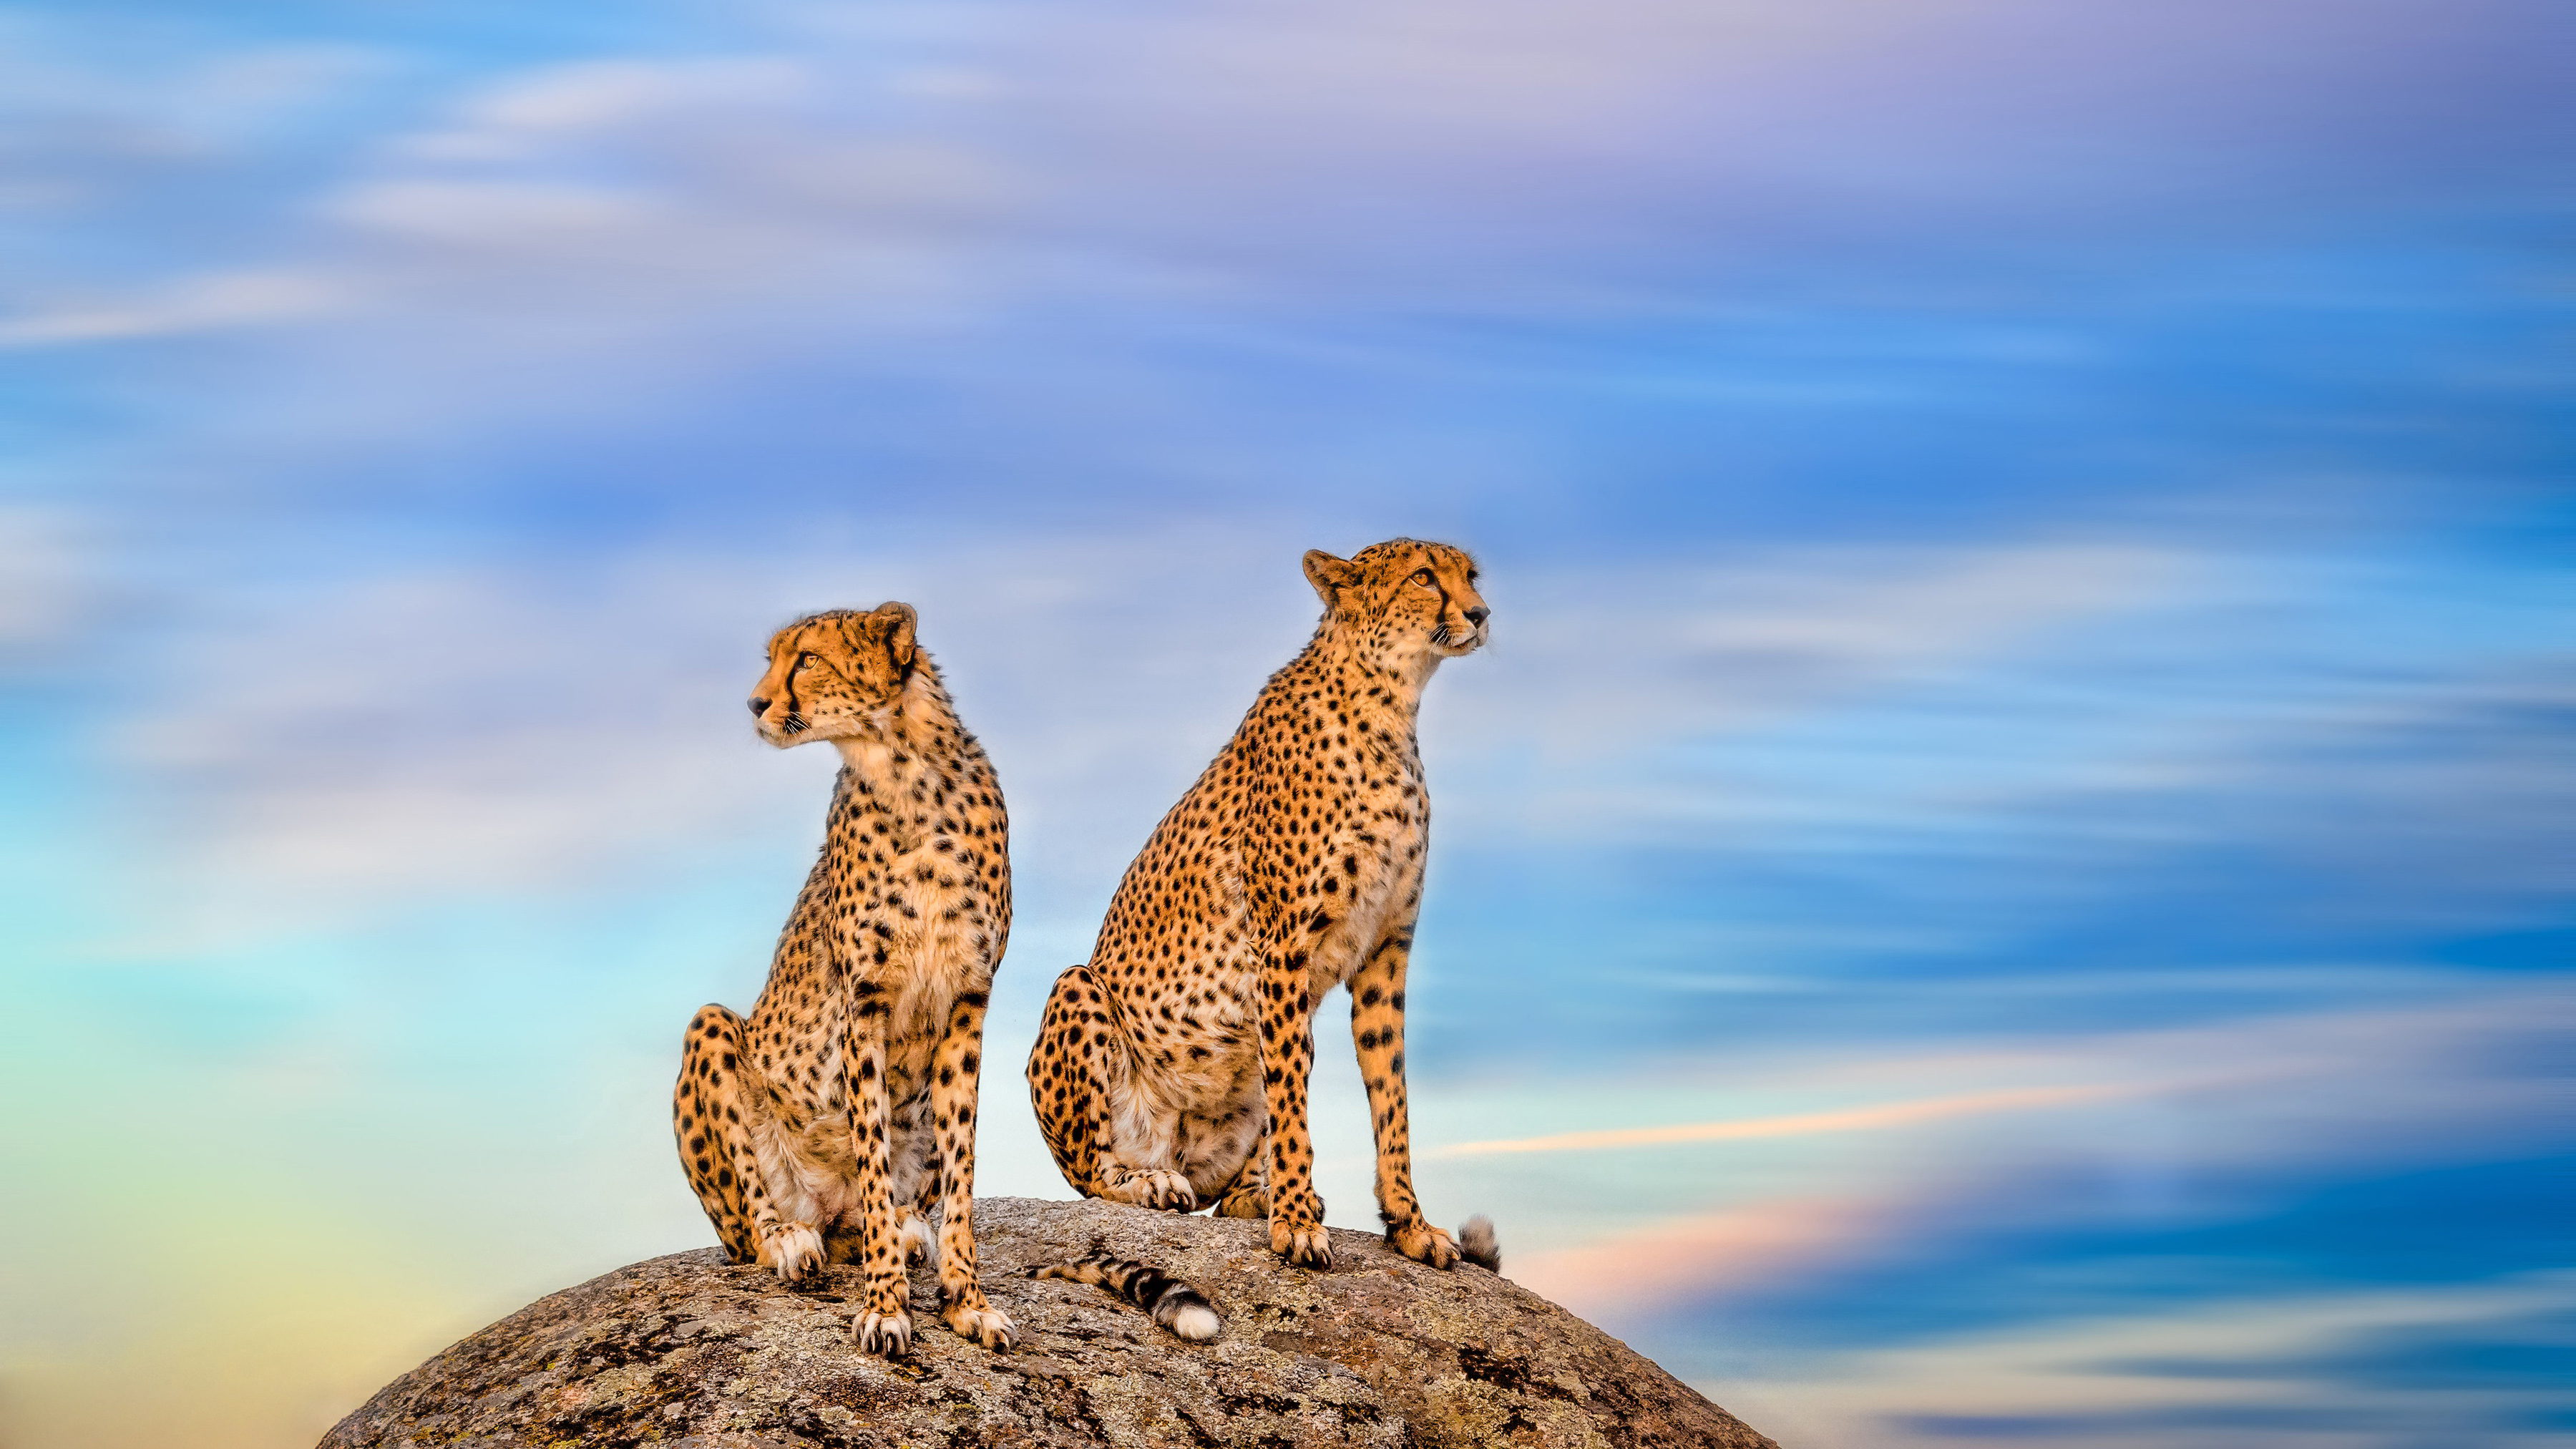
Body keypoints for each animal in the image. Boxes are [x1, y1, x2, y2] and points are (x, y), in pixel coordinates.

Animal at [673, 601, 1016, 1359]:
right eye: (773, 658)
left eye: (806, 658)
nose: (755, 703)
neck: (905, 774)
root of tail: (826, 1210)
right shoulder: (865, 1004)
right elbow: (871, 1148)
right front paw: (886, 1305)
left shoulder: (968, 1005)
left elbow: (961, 1166)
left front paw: (967, 1301)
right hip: (712, 1028)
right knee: (753, 1226)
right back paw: (790, 1238)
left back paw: (907, 1228)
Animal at [1025, 538, 1503, 1287]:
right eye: (1425, 577)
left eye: (1470, 575)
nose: (1481, 614)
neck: (1392, 704)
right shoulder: (1281, 947)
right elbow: (1297, 1094)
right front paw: (1298, 1224)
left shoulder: (1385, 952)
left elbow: (1390, 1092)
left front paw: (1408, 1225)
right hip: (1080, 992)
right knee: (1092, 1174)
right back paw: (1155, 1183)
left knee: (1226, 1186)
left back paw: (1254, 1193)